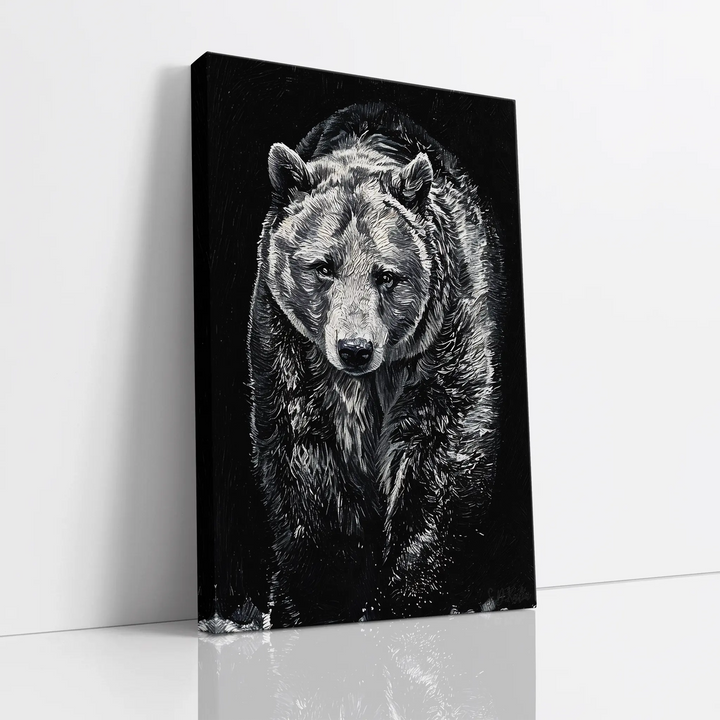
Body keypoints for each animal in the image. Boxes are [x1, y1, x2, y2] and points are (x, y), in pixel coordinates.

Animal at [248, 102, 504, 627]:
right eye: (322, 266)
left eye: (387, 275)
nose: (354, 347)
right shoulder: (287, 346)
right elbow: (305, 468)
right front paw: (318, 597)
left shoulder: (444, 340)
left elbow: (439, 459)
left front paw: (406, 598)